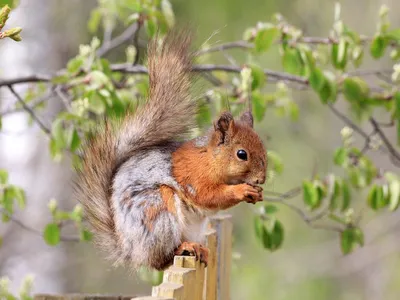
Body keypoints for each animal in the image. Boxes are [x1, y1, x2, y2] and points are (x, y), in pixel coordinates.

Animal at [75, 30, 268, 272]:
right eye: (242, 154)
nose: (261, 179)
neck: (210, 159)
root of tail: (131, 250)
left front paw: (257, 193)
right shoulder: (194, 177)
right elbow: (209, 196)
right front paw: (242, 191)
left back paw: (200, 249)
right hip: (157, 210)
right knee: (160, 260)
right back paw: (184, 247)